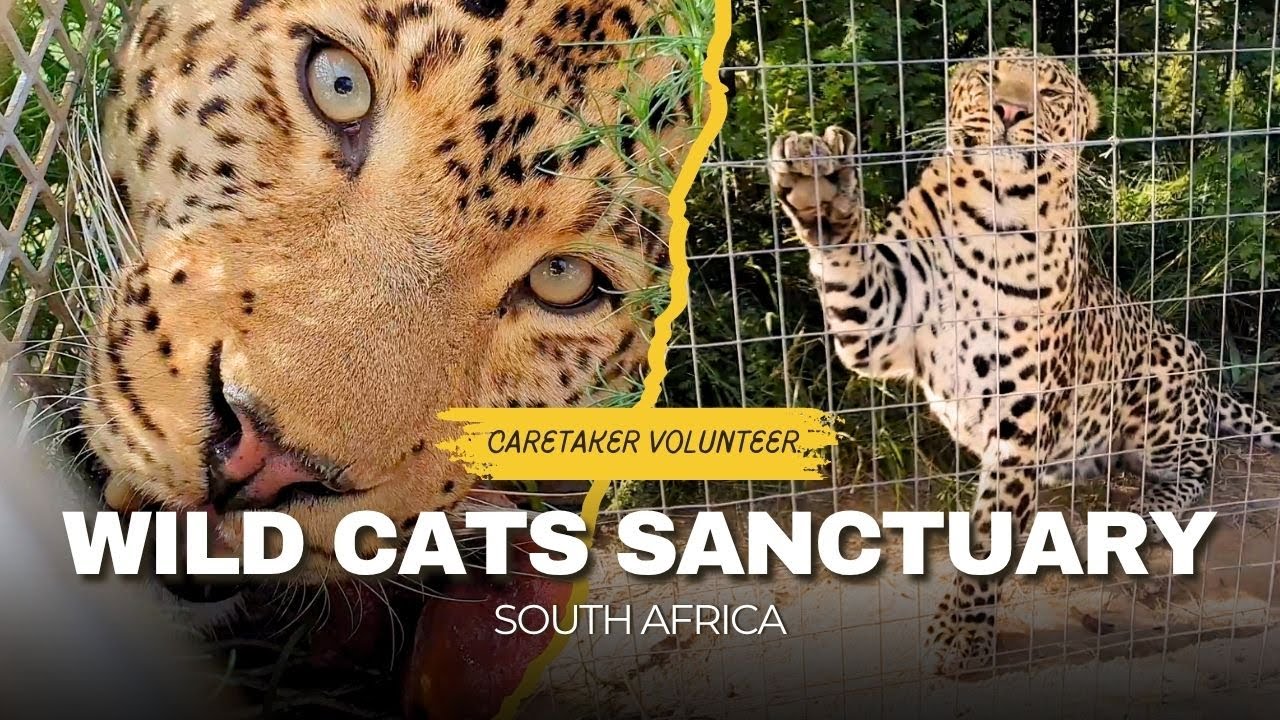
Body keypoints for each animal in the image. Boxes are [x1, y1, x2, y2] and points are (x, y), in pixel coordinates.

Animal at [767, 47, 1280, 675]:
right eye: (989, 78)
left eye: (1050, 94)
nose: (1010, 111)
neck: (992, 211)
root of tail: (1207, 377)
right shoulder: (879, 326)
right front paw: (821, 182)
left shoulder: (1022, 422)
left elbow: (989, 539)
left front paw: (962, 635)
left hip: (1159, 381)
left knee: (1196, 469)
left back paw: (1135, 518)